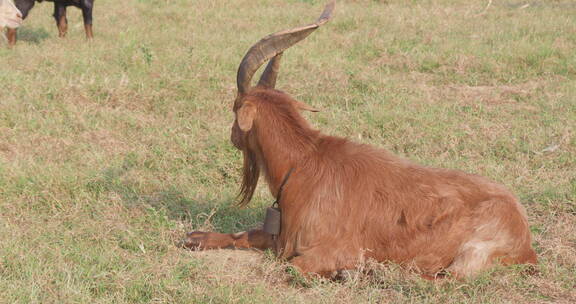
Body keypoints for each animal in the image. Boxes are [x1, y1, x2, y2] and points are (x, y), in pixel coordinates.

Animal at [183, 1, 536, 280]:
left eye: (234, 108)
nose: (232, 136)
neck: (304, 163)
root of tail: (525, 243)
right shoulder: (280, 236)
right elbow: (246, 233)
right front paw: (195, 237)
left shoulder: (328, 249)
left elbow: (291, 268)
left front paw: (348, 270)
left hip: (473, 252)